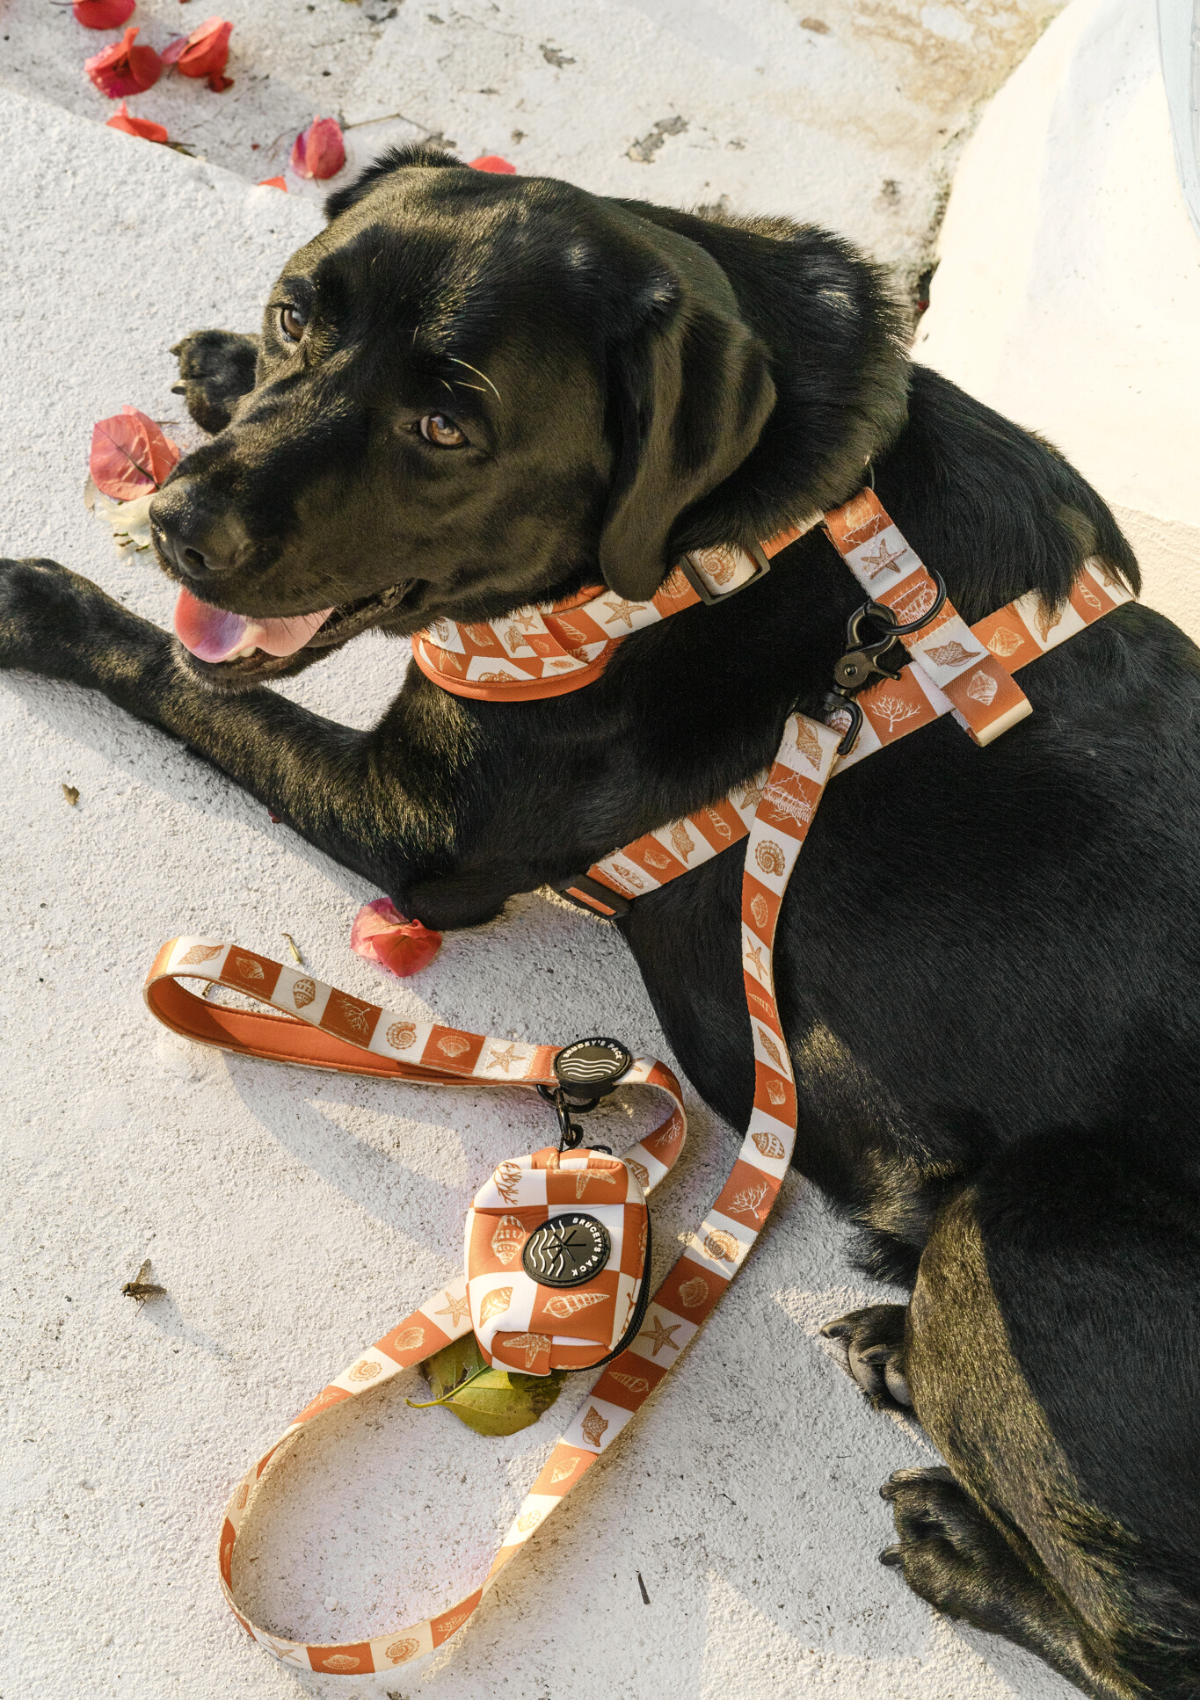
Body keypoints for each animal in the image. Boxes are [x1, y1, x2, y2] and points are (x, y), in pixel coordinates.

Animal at [4, 149, 1189, 1700]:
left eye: (450, 424)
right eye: (294, 312)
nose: (182, 526)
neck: (750, 526)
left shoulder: (418, 826)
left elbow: (185, 678)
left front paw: (41, 605)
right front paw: (219, 371)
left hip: (1026, 1228)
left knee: (1146, 1644)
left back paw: (957, 1538)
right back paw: (894, 1345)